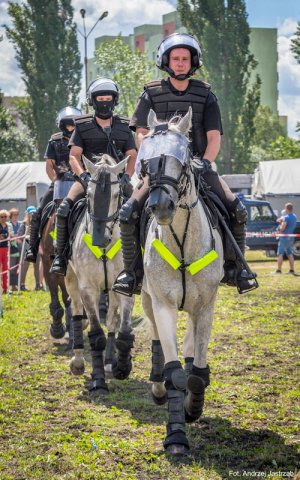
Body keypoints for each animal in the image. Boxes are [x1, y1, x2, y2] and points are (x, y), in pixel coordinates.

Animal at [67, 154, 136, 394]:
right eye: (89, 194)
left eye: (116, 195)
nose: (99, 240)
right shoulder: (88, 288)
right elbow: (96, 335)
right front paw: (98, 381)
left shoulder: (124, 287)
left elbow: (123, 329)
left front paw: (121, 367)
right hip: (71, 279)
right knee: (77, 311)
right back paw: (78, 360)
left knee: (112, 319)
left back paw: (108, 363)